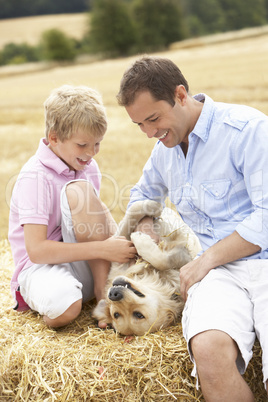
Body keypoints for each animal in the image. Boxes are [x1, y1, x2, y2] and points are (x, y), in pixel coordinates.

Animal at [91, 201, 199, 336]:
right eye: (116, 314)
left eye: (138, 315)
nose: (113, 294)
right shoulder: (119, 255)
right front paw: (150, 207)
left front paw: (151, 207)